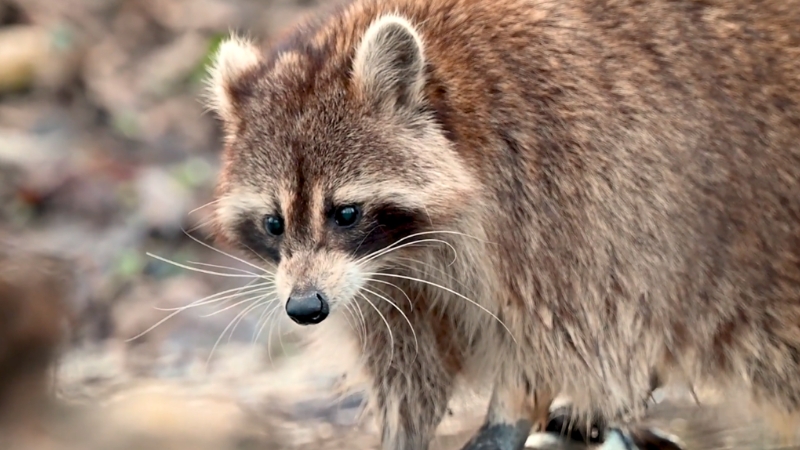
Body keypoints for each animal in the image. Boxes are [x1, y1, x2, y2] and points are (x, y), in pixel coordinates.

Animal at [203, 0, 800, 449]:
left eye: (344, 212)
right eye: (274, 223)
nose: (305, 309)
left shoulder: (572, 197)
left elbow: (564, 335)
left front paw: (510, 412)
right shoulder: (384, 283)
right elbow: (409, 363)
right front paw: (404, 430)